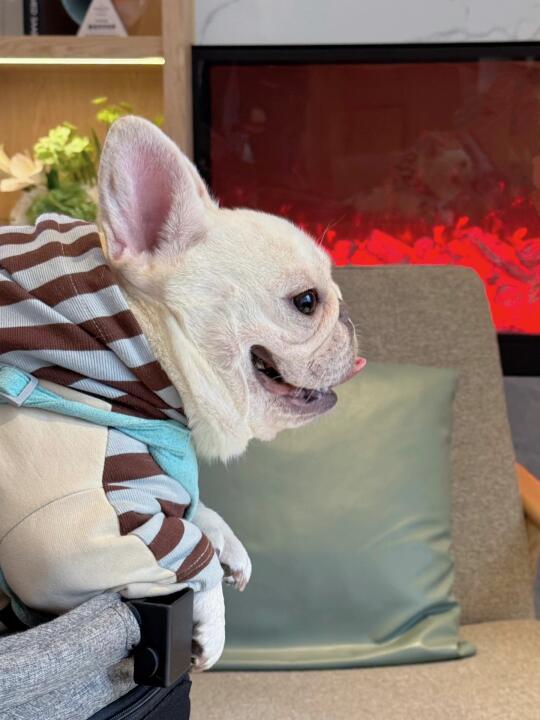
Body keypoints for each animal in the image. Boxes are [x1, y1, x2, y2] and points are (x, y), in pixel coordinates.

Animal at [0, 116, 363, 671]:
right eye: (307, 301)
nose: (348, 317)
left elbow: (194, 510)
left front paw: (228, 543)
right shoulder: (71, 544)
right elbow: (184, 552)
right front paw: (211, 625)